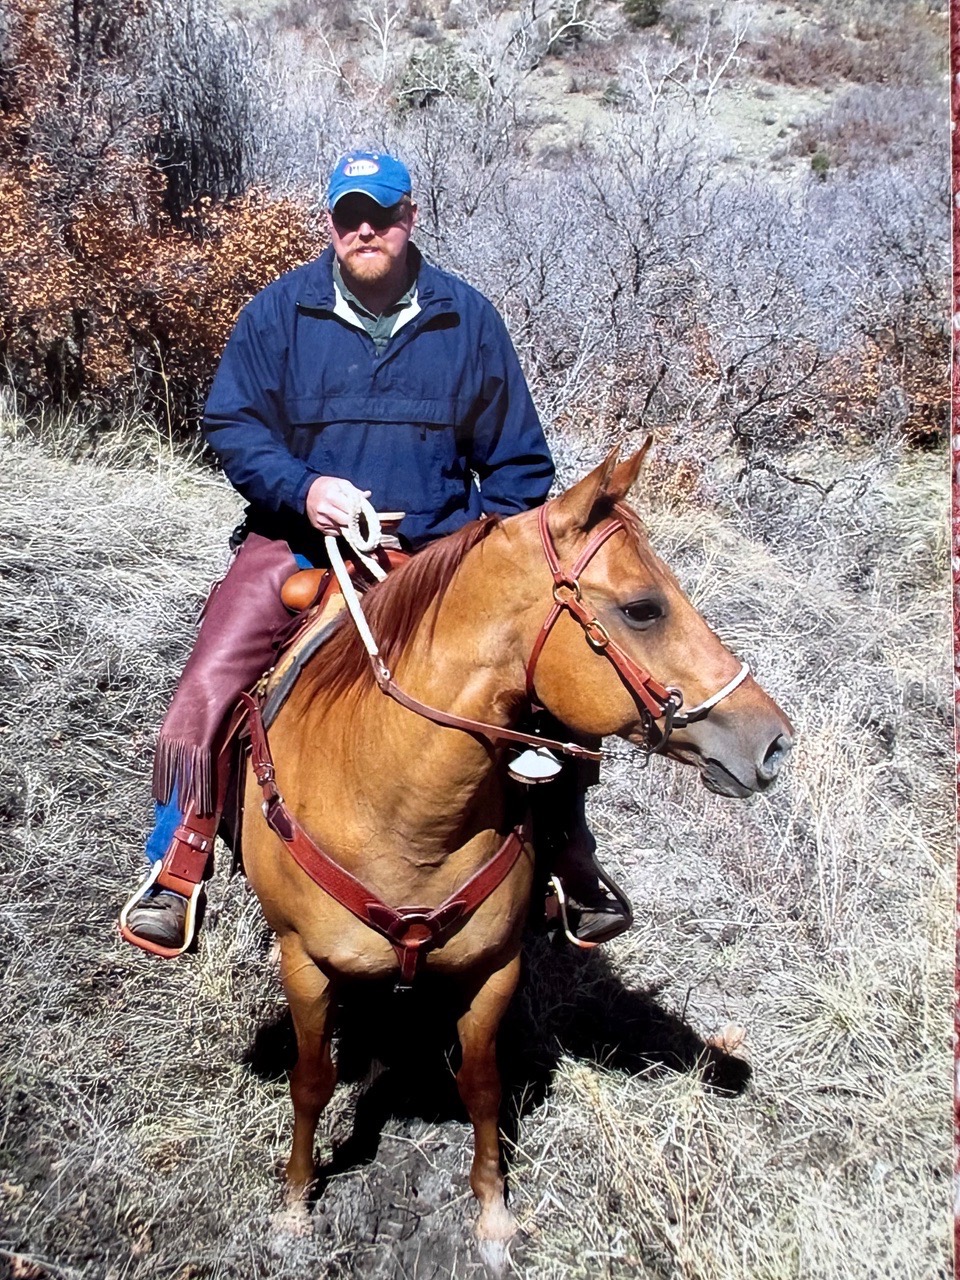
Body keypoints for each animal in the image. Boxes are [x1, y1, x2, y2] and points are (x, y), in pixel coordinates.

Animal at [240, 443, 793, 1244]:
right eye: (644, 608)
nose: (774, 742)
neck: (400, 809)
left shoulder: (494, 969)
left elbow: (481, 1084)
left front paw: (493, 1210)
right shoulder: (305, 965)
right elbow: (311, 1081)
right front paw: (293, 1201)